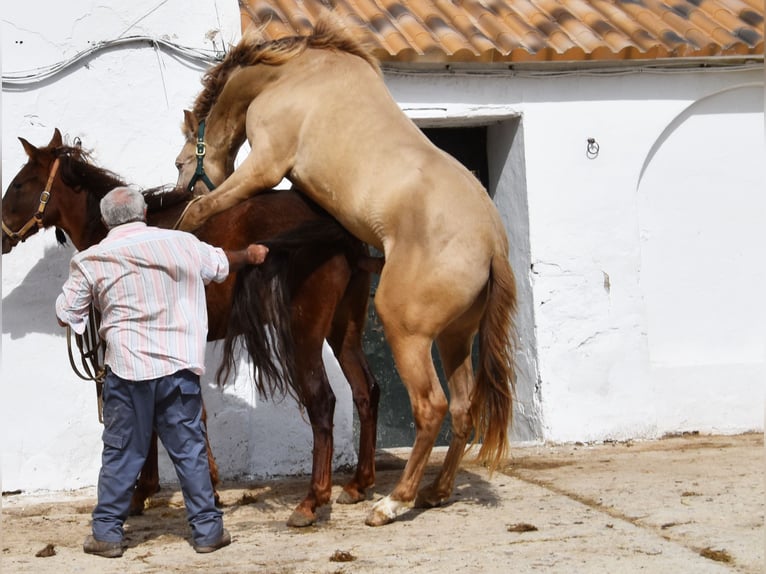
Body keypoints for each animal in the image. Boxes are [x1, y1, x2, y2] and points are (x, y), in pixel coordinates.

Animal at [2, 129, 380, 528]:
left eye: (20, 183)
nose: (1, 235)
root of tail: (339, 229)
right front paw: (201, 486)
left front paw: (144, 491)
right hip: (344, 330)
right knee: (366, 391)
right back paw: (359, 483)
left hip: (304, 331)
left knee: (321, 402)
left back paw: (312, 499)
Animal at [177, 14, 520, 528]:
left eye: (181, 161)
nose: (178, 184)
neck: (292, 73)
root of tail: (492, 241)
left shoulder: (265, 165)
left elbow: (199, 212)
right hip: (455, 338)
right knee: (462, 408)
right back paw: (434, 492)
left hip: (407, 332)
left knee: (431, 407)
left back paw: (391, 502)